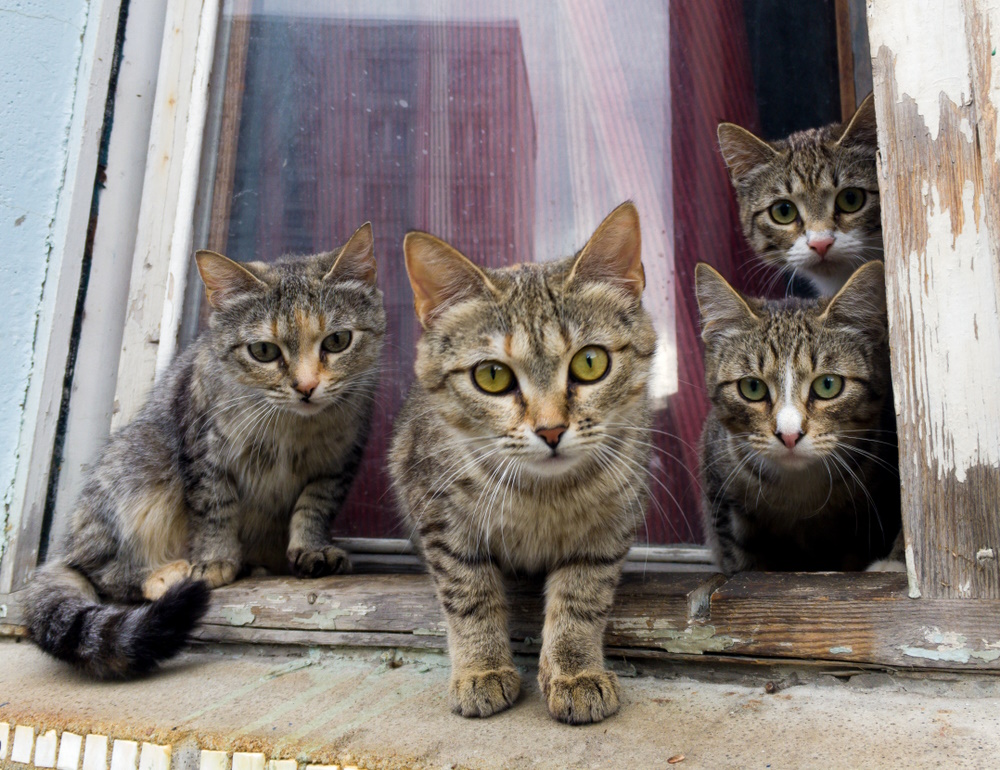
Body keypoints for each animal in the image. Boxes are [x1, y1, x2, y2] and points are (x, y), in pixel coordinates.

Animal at [26, 224, 386, 680]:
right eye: (264, 351)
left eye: (337, 341)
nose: (306, 387)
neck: (294, 428)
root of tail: (67, 545)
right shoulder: (205, 453)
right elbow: (215, 508)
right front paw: (215, 560)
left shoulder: (338, 461)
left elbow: (314, 506)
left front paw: (312, 548)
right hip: (134, 475)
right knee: (102, 572)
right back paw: (166, 574)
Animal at [388, 201, 656, 724]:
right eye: (491, 375)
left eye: (590, 362)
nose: (551, 430)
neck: (542, 494)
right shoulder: (437, 515)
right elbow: (469, 594)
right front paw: (481, 669)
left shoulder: (609, 524)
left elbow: (582, 596)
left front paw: (575, 671)